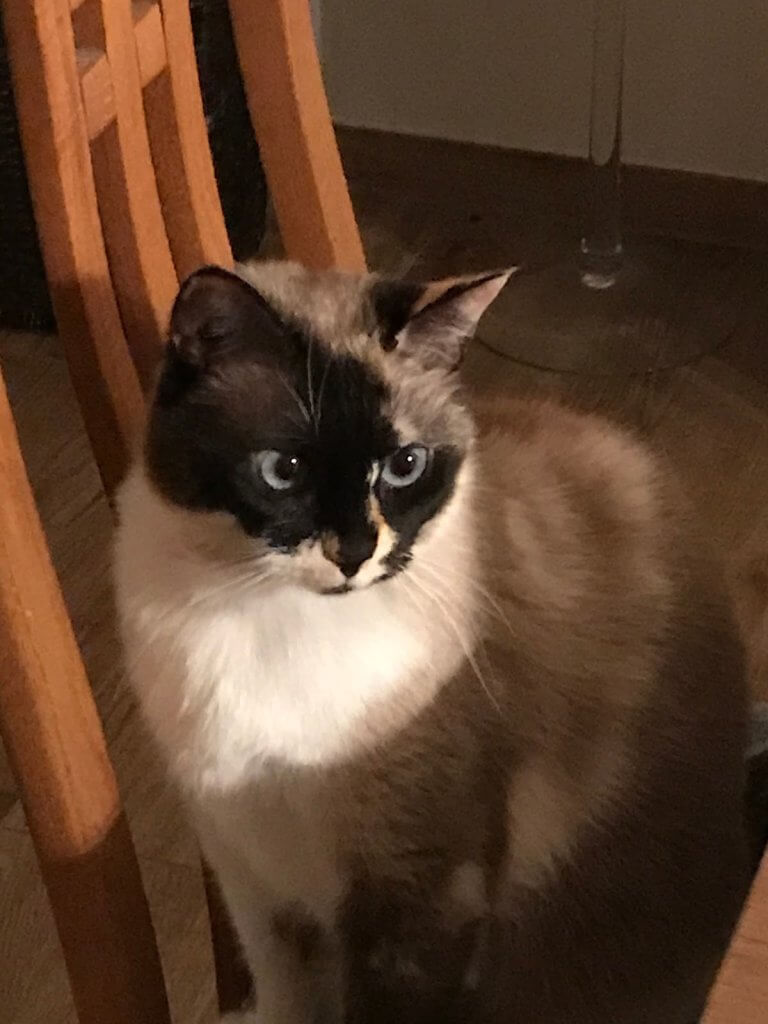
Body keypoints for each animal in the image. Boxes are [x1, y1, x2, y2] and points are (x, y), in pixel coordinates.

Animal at [114, 260, 753, 1019]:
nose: (355, 554)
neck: (263, 617)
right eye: (283, 471)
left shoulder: (414, 902)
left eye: (405, 466)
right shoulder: (253, 879)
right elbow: (283, 999)